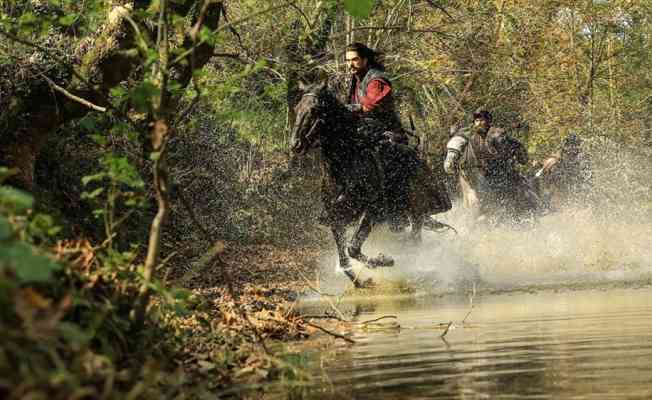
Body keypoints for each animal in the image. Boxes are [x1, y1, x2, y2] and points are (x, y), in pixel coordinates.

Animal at [292, 82, 450, 288]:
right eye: (296, 108)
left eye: (314, 110)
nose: (295, 144)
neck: (345, 167)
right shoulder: (336, 218)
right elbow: (344, 259)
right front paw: (361, 280)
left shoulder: (372, 212)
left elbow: (352, 248)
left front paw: (383, 260)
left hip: (417, 212)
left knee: (415, 241)